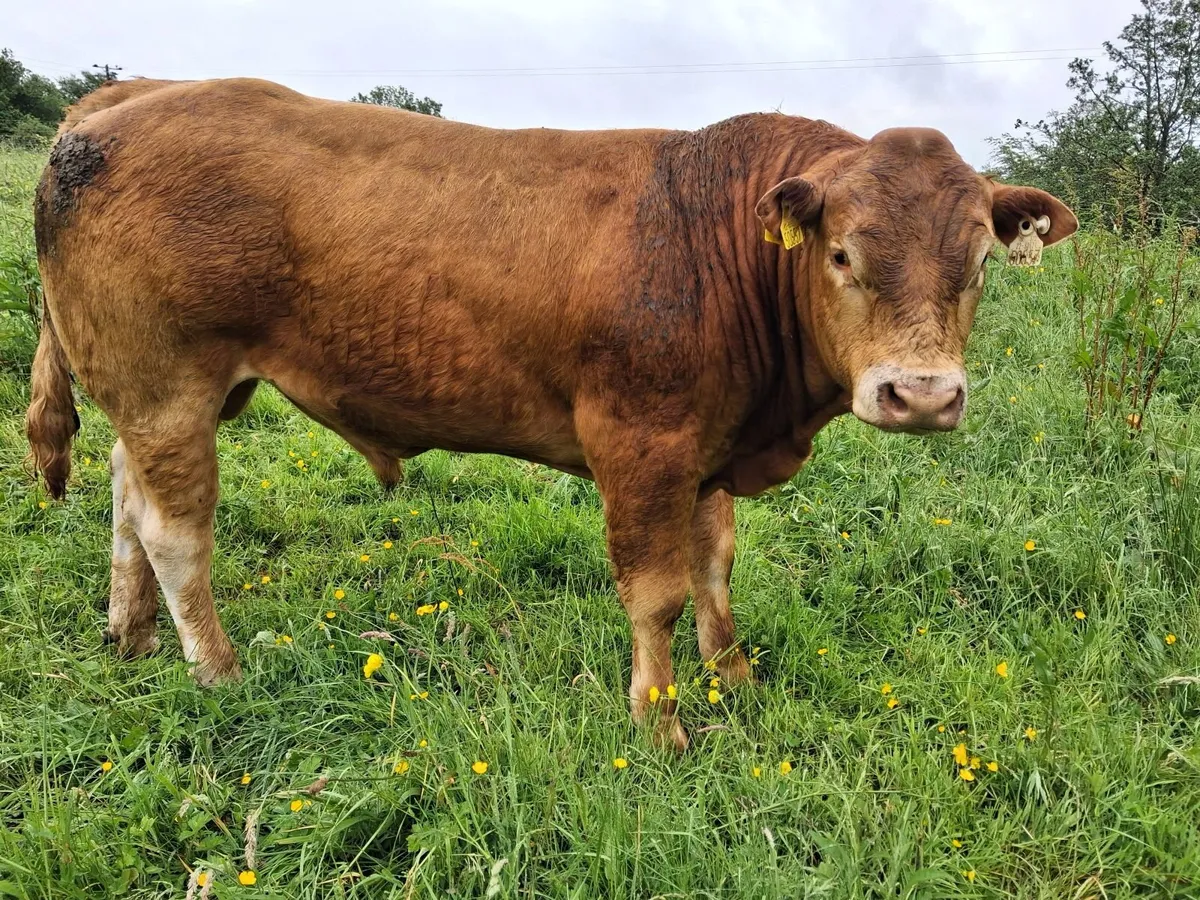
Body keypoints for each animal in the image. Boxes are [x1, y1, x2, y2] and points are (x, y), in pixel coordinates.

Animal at [27, 78, 1076, 749]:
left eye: (980, 262)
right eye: (843, 254)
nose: (923, 394)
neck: (713, 238)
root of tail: (124, 98)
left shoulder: (705, 443)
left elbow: (715, 566)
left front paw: (734, 676)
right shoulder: (639, 444)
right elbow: (656, 592)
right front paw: (660, 721)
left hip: (158, 397)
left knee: (127, 499)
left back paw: (131, 635)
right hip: (167, 384)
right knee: (175, 532)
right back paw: (217, 671)